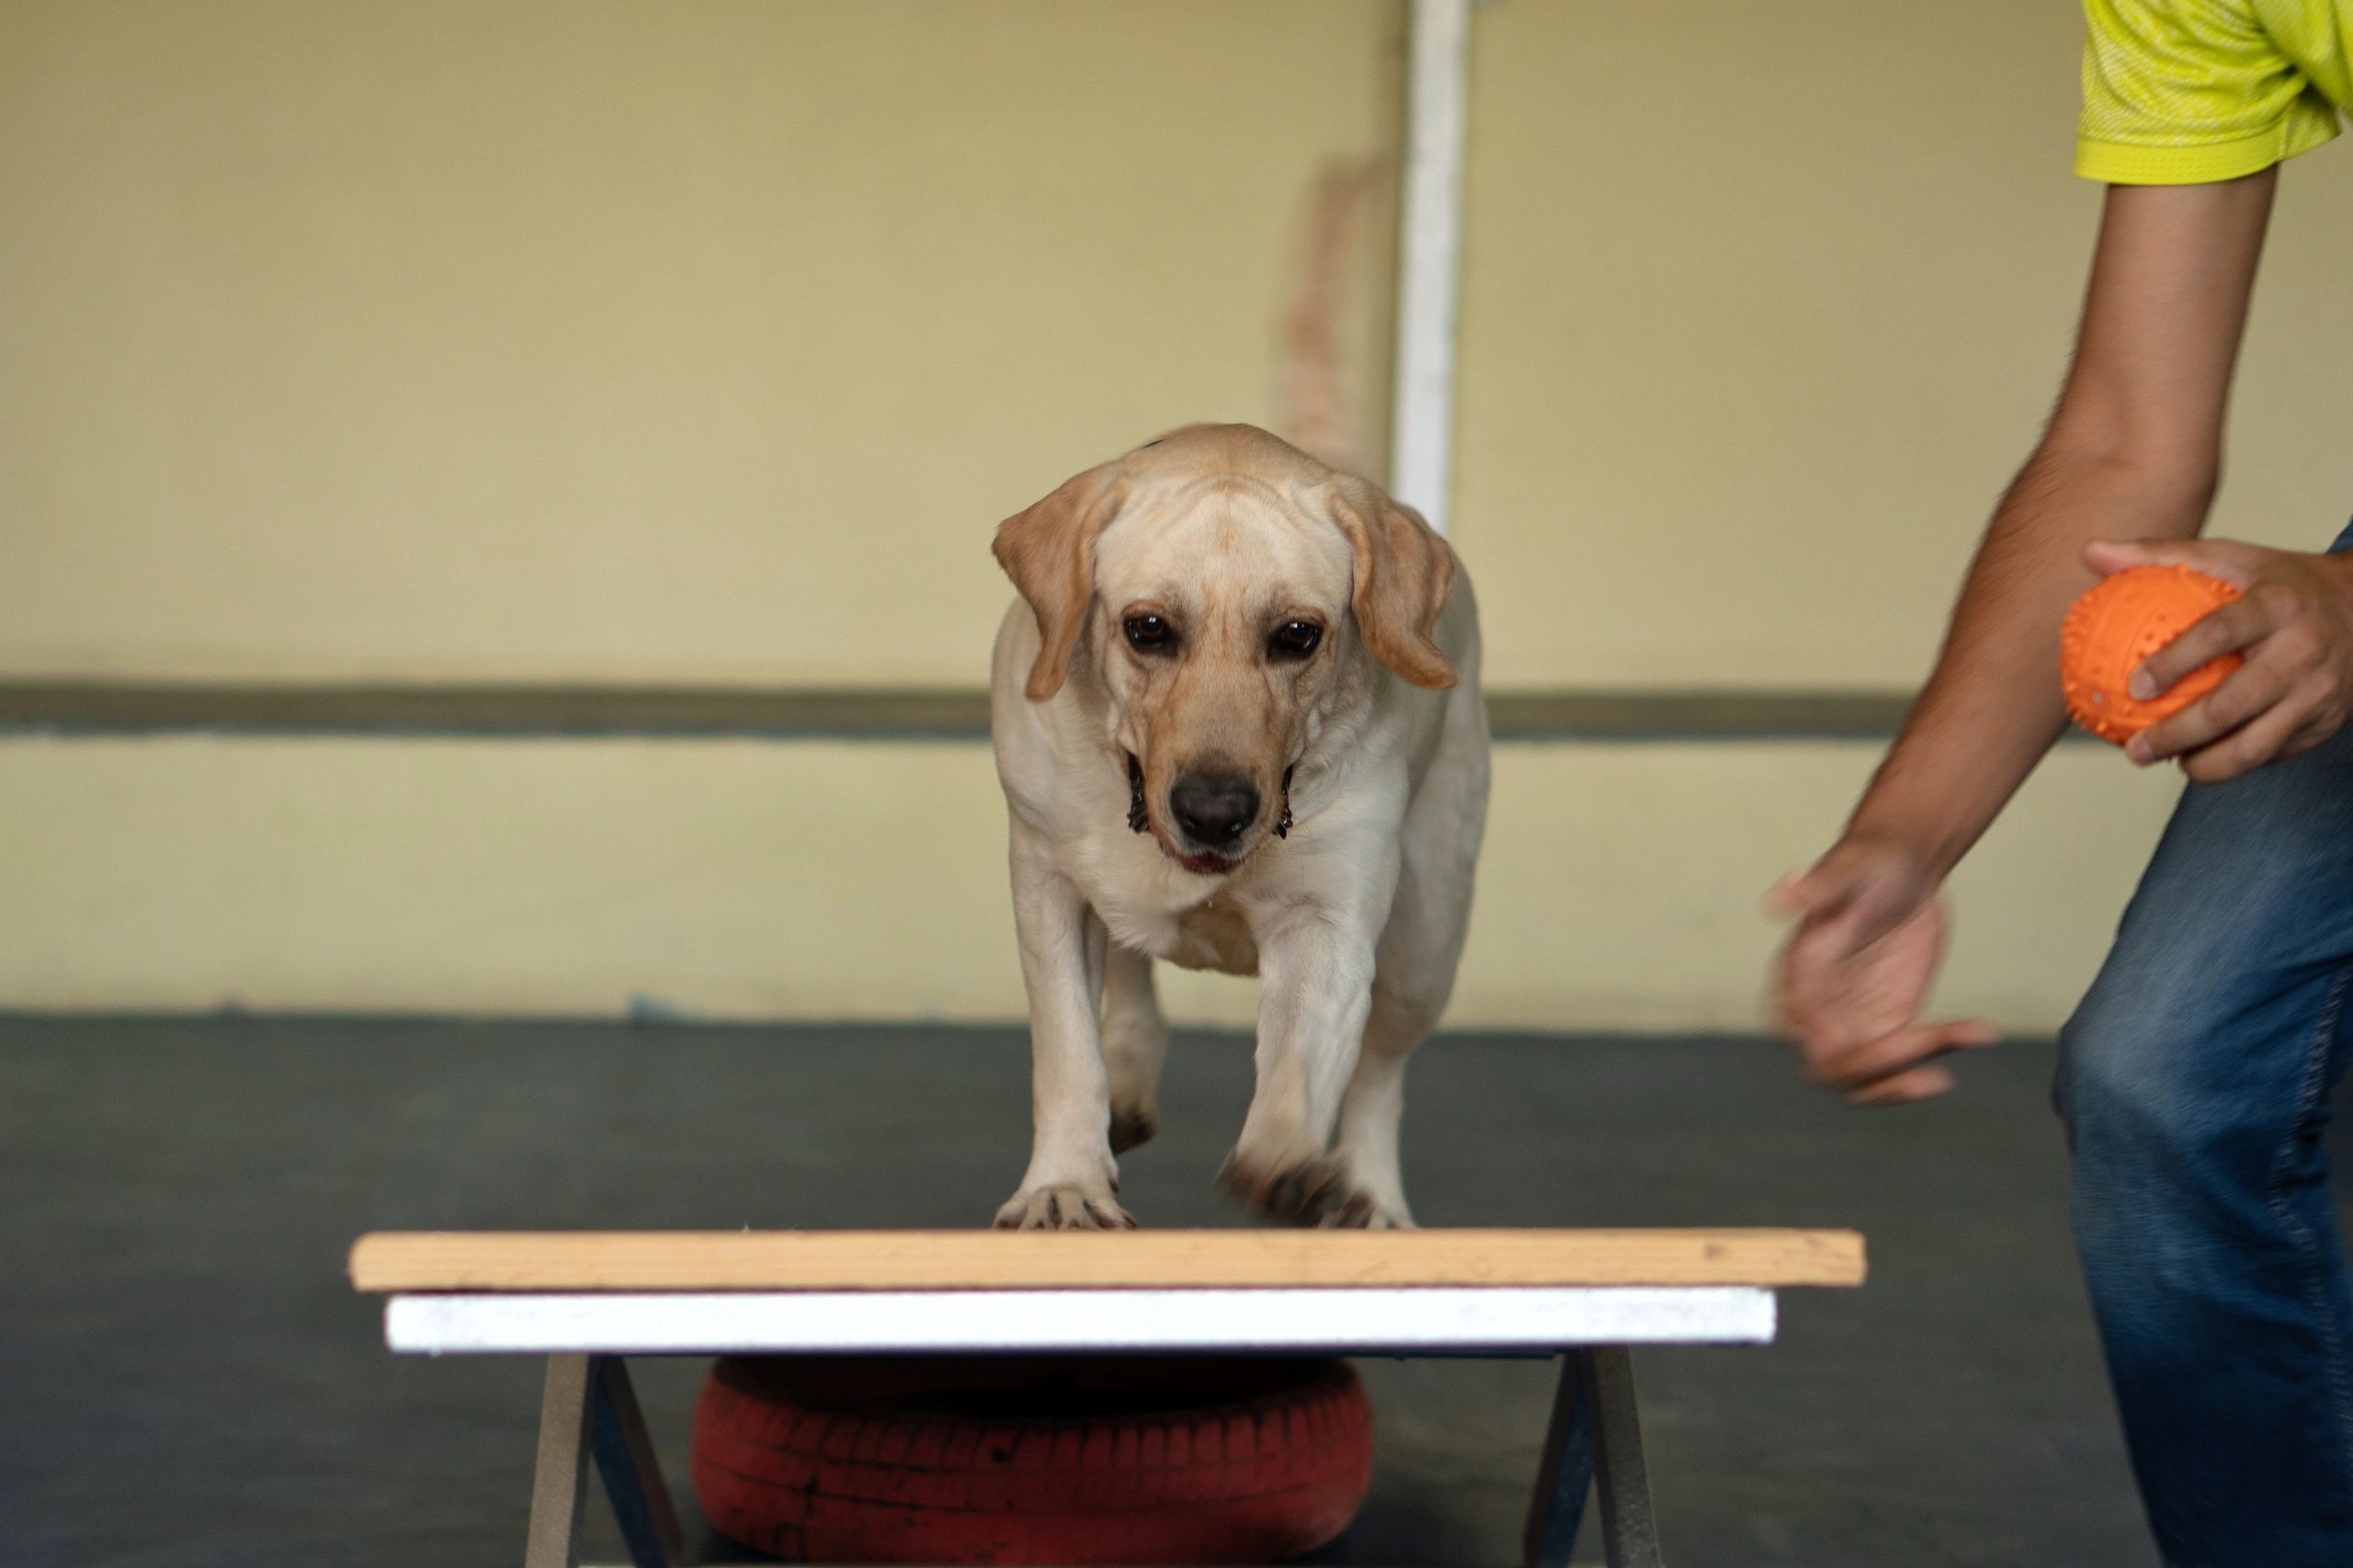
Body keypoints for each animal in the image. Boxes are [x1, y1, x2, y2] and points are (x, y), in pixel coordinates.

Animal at [988, 421, 1486, 1224]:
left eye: (1298, 635)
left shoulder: (1327, 920)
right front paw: (1063, 1186)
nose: (1214, 813)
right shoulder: (1047, 883)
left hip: (1427, 941)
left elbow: (1300, 1062)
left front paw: (1285, 1159)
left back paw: (1372, 1199)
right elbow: (1066, 1051)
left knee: (1379, 1078)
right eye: (1147, 628)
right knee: (1129, 984)